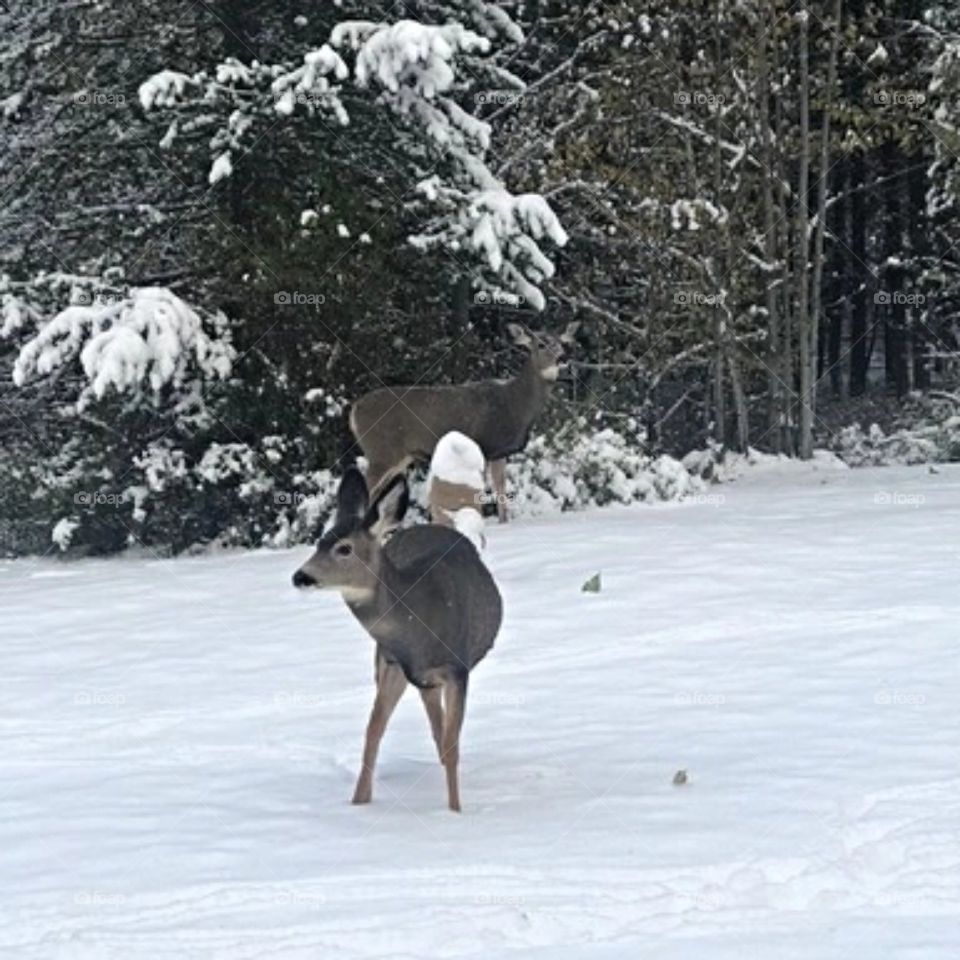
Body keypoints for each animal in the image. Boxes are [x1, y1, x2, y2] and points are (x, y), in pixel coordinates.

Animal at [292, 467, 502, 812]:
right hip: (392, 666)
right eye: (319, 542)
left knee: (442, 734)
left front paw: (455, 811)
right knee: (430, 725)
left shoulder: (457, 668)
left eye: (344, 548)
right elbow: (373, 730)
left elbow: (452, 743)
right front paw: (359, 803)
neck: (417, 622)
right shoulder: (392, 662)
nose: (301, 577)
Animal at [348, 321, 580, 523]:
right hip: (380, 452)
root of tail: (354, 410)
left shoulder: (499, 452)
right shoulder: (486, 445)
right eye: (541, 344)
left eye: (562, 342)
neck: (515, 404)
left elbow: (500, 490)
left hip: (397, 458)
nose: (563, 357)